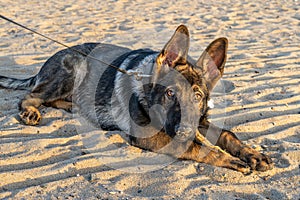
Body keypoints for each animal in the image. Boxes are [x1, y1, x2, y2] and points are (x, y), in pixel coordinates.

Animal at [0, 25, 272, 173]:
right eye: (170, 93)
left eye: (197, 96)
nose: (184, 130)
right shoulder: (150, 136)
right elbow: (199, 147)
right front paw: (229, 158)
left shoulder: (199, 121)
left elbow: (227, 134)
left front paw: (251, 153)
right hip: (73, 67)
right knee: (31, 95)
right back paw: (31, 111)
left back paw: (73, 106)